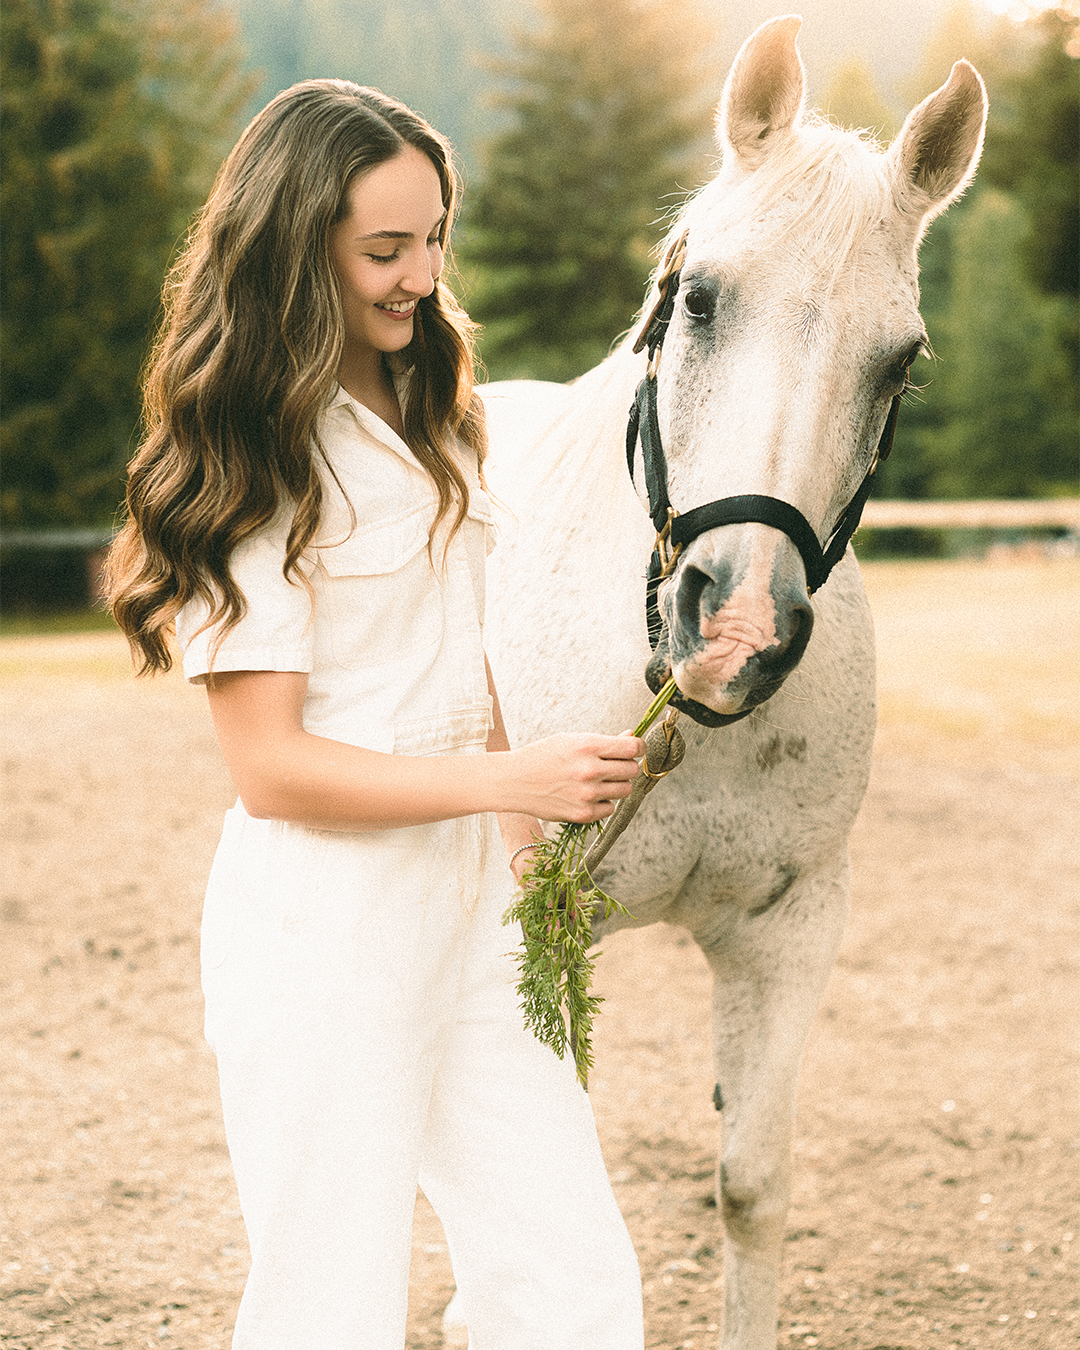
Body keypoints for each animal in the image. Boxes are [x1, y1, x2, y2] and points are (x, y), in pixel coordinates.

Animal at [449, 15, 987, 1350]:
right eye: (698, 300)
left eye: (901, 364)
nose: (738, 626)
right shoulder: (544, 922)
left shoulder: (788, 932)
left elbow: (750, 1185)